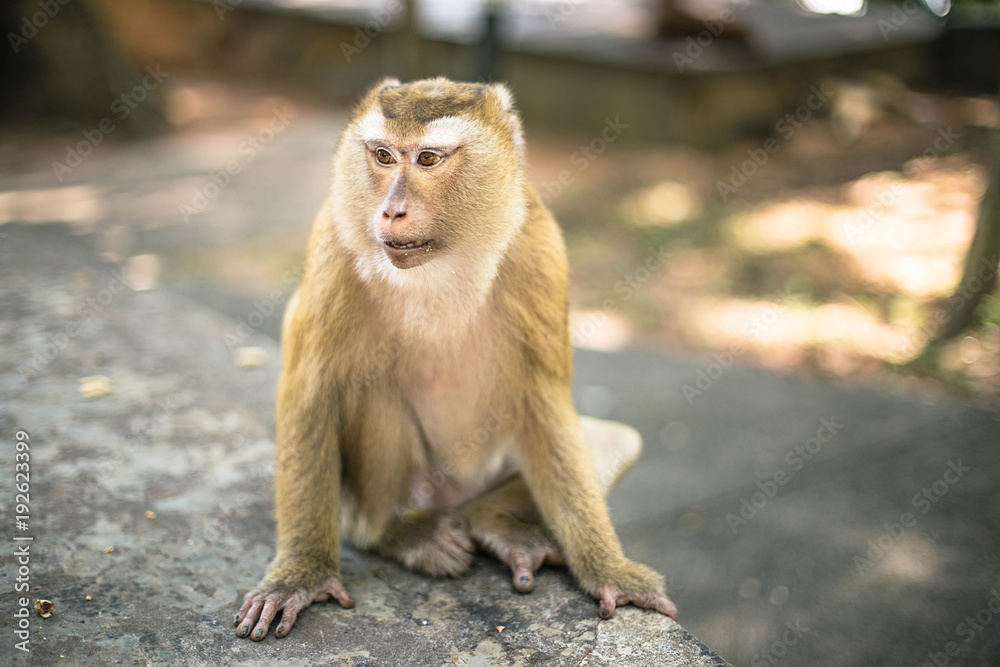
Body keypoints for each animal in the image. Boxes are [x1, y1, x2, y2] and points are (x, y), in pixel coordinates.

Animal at [232, 77, 680, 640]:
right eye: (383, 156)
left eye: (427, 159)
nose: (391, 210)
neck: (444, 264)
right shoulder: (332, 246)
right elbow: (311, 396)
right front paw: (301, 574)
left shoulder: (538, 248)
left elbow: (546, 404)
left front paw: (608, 569)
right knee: (372, 395)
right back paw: (399, 532)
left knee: (610, 439)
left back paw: (494, 521)